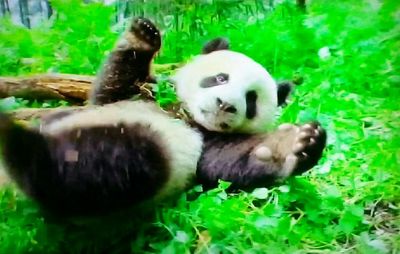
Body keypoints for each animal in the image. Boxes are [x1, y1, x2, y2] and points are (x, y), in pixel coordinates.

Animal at [0, 17, 326, 216]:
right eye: (220, 78)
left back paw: (24, 146)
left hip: (138, 159)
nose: (225, 105)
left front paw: (299, 144)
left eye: (251, 100)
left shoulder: (206, 143)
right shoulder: (140, 95)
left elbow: (234, 161)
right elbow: (111, 88)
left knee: (96, 164)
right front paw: (143, 36)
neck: (185, 114)